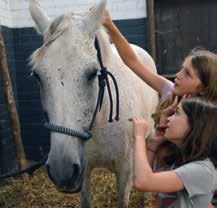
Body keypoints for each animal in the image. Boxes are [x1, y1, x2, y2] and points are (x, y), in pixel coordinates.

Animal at [29, 0, 158, 207]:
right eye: (37, 76)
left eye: (92, 73)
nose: (62, 170)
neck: (101, 118)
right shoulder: (84, 171)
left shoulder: (125, 171)